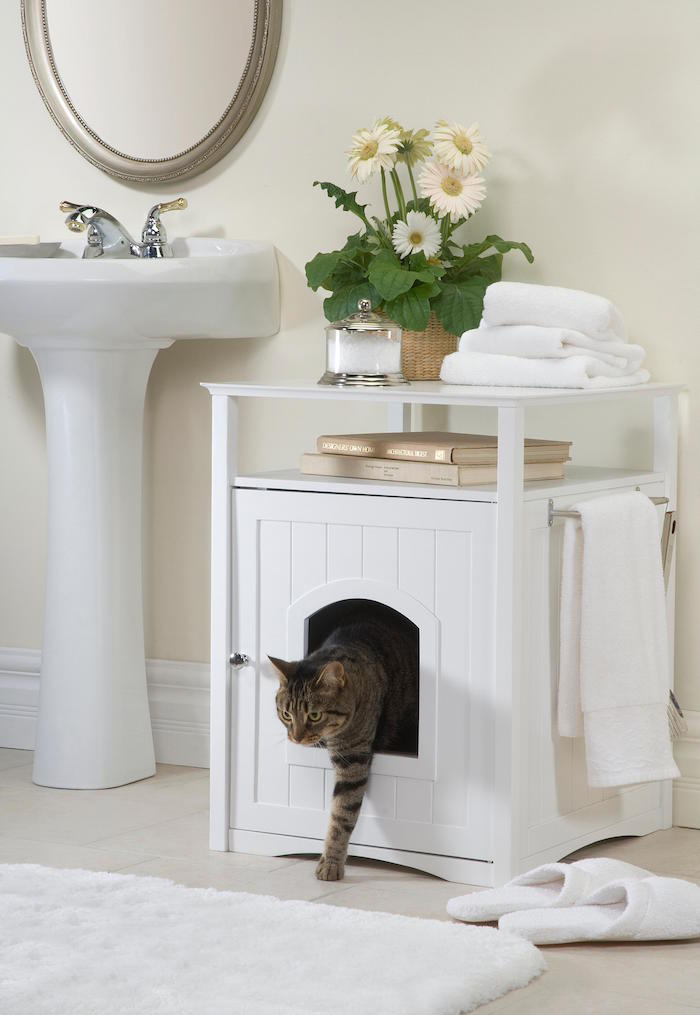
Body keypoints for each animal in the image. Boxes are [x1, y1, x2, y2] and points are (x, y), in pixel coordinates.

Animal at [267, 609, 413, 881]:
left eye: (314, 715)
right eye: (286, 714)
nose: (296, 737)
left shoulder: (353, 758)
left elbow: (341, 815)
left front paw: (331, 863)